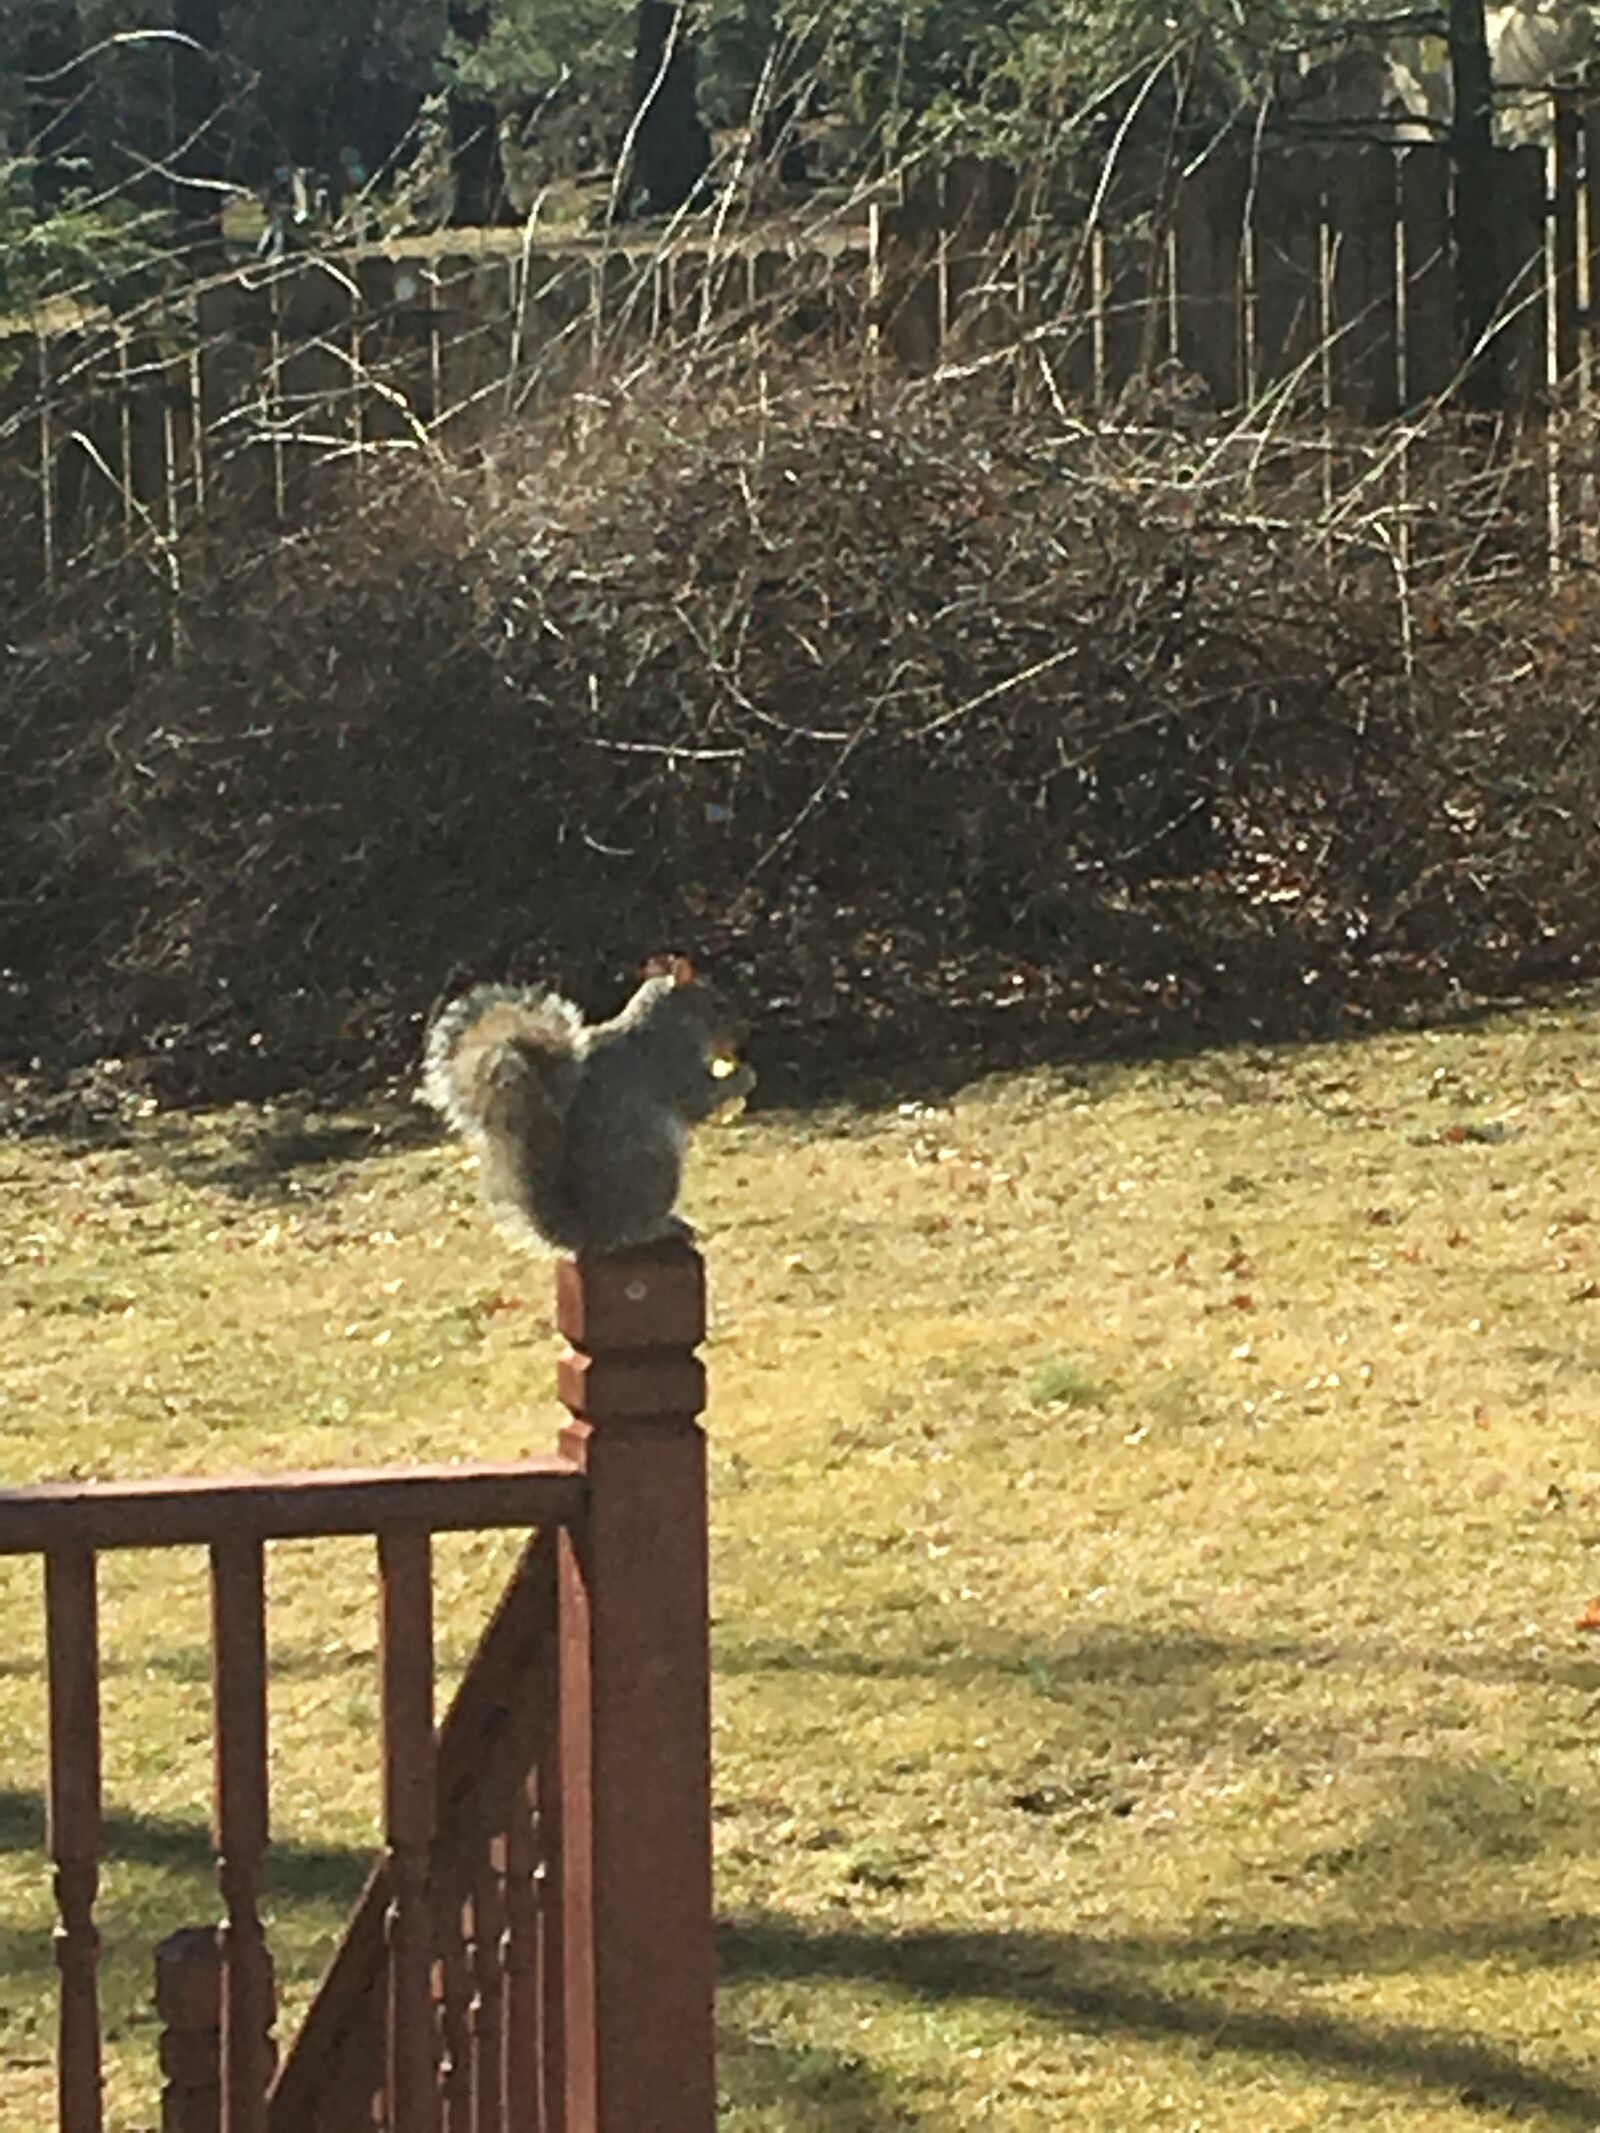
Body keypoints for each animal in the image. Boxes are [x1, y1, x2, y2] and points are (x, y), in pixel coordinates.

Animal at [421, 956, 755, 1254]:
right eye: (719, 1004)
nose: (742, 1036)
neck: (666, 1021)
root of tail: (585, 1235)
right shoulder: (675, 1063)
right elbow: (699, 1099)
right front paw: (745, 1077)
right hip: (656, 1166)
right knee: (632, 1231)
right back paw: (665, 1227)